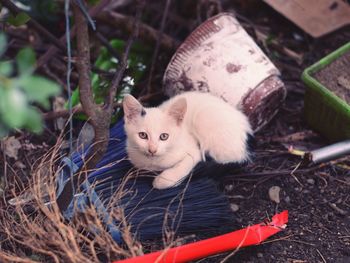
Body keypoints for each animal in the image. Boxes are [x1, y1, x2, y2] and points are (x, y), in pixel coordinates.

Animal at [123, 92, 252, 190]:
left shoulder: (193, 152)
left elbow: (182, 166)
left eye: (164, 136)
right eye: (143, 135)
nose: (152, 150)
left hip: (203, 119)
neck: (154, 163)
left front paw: (162, 180)